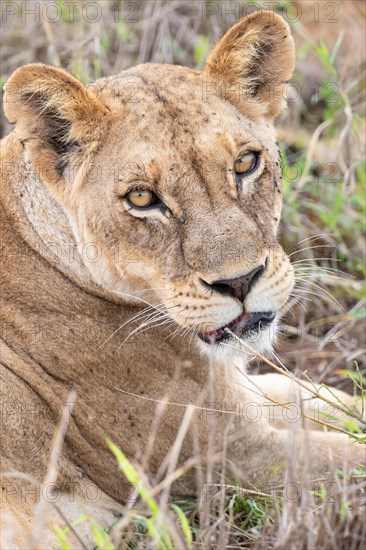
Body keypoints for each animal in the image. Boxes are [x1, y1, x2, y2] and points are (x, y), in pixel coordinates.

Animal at [1, 9, 364, 550]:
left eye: (245, 163)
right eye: (142, 198)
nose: (241, 281)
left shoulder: (242, 398)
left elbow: (318, 397)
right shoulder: (232, 457)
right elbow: (349, 460)